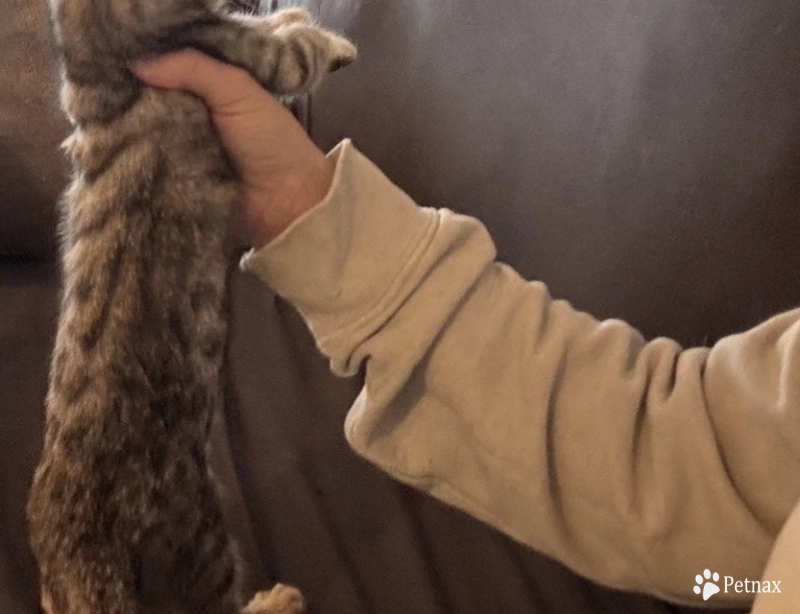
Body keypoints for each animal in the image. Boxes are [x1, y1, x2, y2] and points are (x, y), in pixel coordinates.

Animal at [24, 0, 355, 612]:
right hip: (197, 534)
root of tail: (74, 557)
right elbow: (295, 55)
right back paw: (279, 600)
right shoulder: (243, 56)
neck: (97, 55)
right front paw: (330, 41)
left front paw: (290, 14)